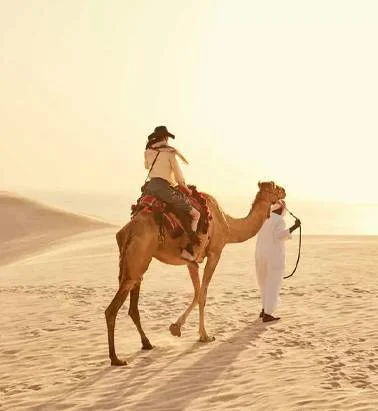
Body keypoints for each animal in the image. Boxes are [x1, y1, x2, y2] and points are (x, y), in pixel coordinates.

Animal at [105, 182, 284, 366]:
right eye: (275, 187)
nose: (284, 191)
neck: (227, 224)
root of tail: (127, 231)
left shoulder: (191, 263)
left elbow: (197, 292)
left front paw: (177, 328)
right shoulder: (214, 253)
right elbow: (202, 295)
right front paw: (203, 335)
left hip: (133, 265)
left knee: (133, 306)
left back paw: (146, 344)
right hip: (138, 258)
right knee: (111, 310)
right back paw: (116, 358)